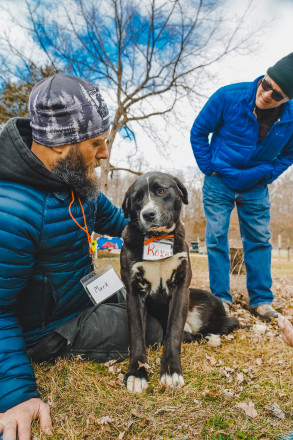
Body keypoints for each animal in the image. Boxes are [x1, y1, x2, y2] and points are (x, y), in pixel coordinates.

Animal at [120, 171, 237, 392]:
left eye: (161, 191)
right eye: (137, 198)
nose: (148, 214)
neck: (158, 239)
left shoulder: (182, 289)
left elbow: (173, 333)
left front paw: (171, 370)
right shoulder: (134, 292)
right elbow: (137, 335)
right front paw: (137, 372)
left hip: (209, 297)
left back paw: (211, 336)